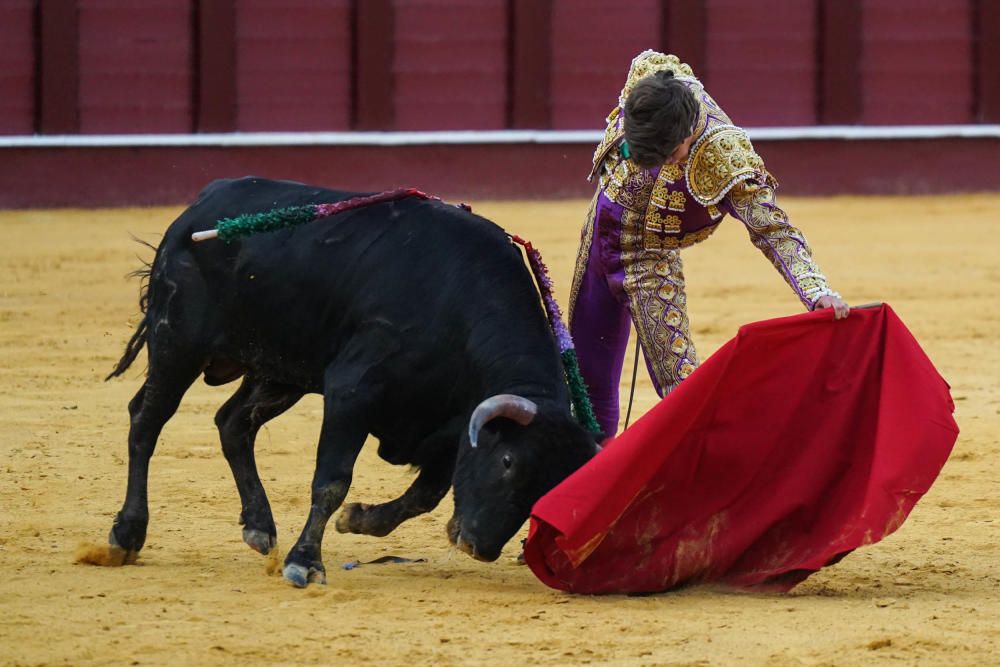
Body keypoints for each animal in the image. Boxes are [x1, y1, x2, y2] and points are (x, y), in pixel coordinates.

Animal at [105, 179, 596, 588]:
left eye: (551, 486)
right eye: (509, 461)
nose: (480, 547)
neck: (457, 306)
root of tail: (199, 206)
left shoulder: (451, 427)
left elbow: (426, 494)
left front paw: (357, 519)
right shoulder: (351, 392)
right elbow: (332, 479)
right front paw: (305, 562)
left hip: (280, 371)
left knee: (233, 423)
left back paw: (259, 526)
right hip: (177, 343)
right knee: (146, 420)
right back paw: (126, 534)